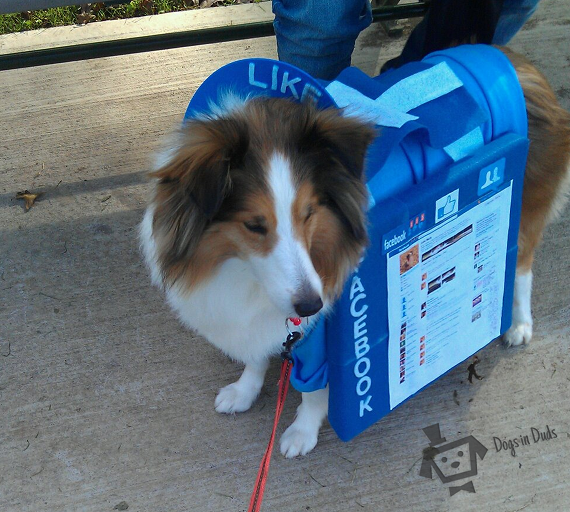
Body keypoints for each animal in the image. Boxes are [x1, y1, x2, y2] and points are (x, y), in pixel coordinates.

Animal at [139, 47, 568, 456]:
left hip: (526, 211)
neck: (244, 274)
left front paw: (302, 432)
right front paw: (244, 391)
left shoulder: (323, 337)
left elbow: (314, 389)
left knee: (523, 269)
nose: (311, 305)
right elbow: (256, 356)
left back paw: (518, 325)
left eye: (309, 212)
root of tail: (513, 60)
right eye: (255, 225)